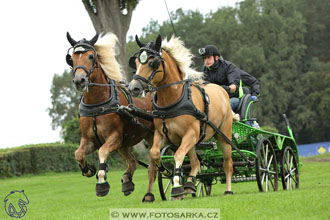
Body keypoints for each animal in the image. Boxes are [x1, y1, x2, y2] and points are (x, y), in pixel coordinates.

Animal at [67, 32, 155, 198]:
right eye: (72, 59)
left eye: (90, 56)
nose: (79, 80)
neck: (97, 105)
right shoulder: (89, 139)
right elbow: (78, 153)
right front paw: (89, 169)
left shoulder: (114, 137)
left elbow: (102, 151)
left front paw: (101, 180)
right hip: (125, 144)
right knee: (133, 161)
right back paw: (127, 182)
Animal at [129, 34, 235, 201]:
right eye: (137, 62)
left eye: (153, 62)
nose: (134, 88)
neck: (172, 101)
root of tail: (221, 89)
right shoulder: (162, 135)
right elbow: (155, 153)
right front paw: (167, 171)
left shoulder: (190, 134)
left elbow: (178, 155)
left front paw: (177, 187)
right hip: (192, 142)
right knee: (195, 162)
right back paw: (190, 185)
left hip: (223, 135)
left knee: (227, 164)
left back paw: (228, 189)